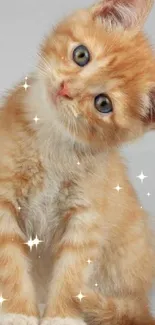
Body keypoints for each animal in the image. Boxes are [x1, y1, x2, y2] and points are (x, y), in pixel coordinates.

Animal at [0, 0, 155, 322]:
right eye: (81, 55)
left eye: (103, 104)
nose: (65, 88)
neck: (52, 137)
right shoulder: (3, 197)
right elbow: (9, 261)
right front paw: (18, 313)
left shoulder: (87, 214)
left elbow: (73, 270)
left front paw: (62, 317)